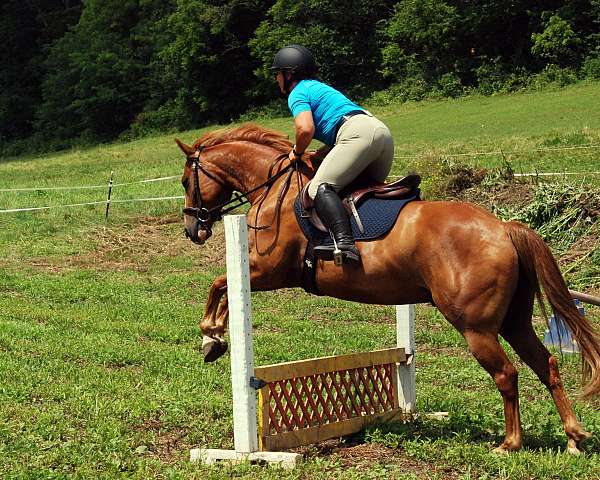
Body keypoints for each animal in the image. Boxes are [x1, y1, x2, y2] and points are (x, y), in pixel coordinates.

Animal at [175, 124, 600, 454]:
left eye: (185, 182)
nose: (192, 230)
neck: (274, 188)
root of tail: (503, 227)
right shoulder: (268, 272)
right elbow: (222, 286)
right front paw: (213, 338)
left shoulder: (271, 270)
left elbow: (220, 284)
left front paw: (211, 337)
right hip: (514, 321)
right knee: (546, 364)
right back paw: (574, 438)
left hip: (476, 328)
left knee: (507, 374)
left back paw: (510, 444)